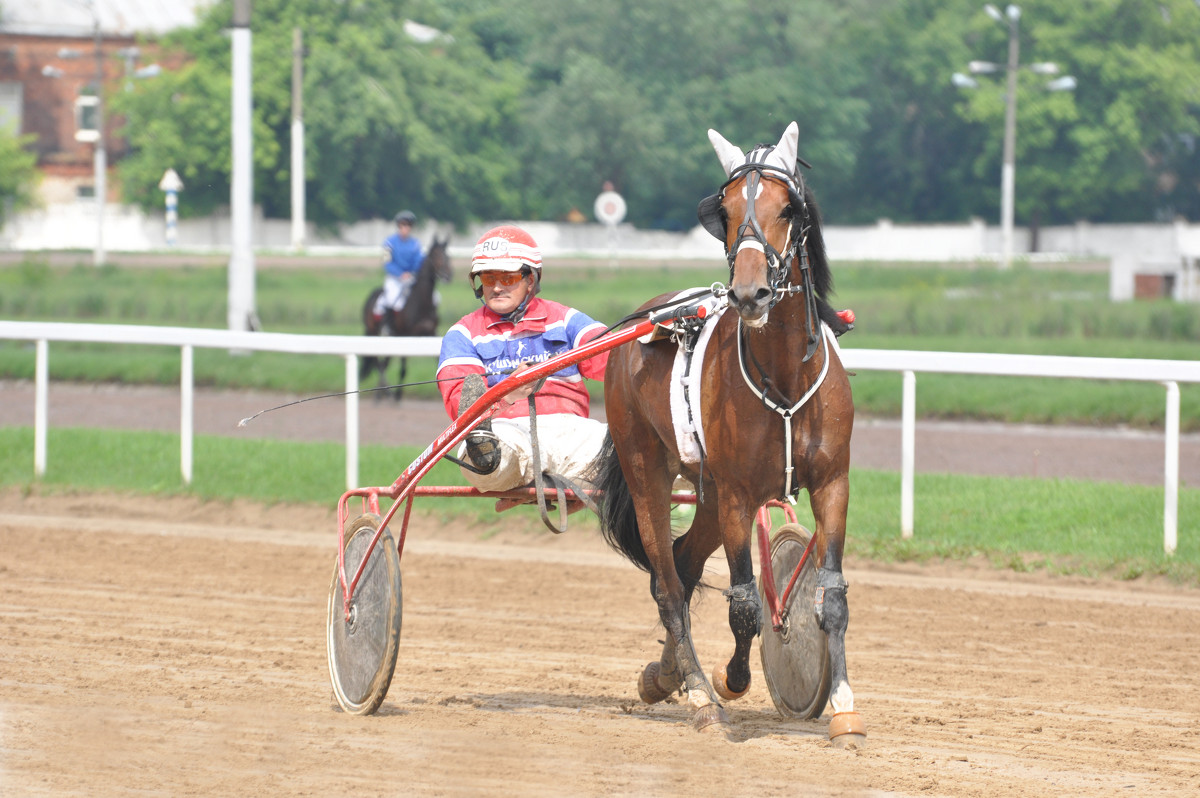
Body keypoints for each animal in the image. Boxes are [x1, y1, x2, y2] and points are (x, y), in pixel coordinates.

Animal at [357, 235, 451, 398]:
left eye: (448, 255)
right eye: (437, 255)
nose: (448, 276)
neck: (421, 303)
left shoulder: (431, 333)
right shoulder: (406, 335)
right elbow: (403, 369)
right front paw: (397, 396)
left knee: (384, 363)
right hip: (374, 332)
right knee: (377, 362)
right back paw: (386, 393)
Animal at [590, 121, 864, 744]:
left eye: (788, 208)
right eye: (729, 209)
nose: (749, 293)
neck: (784, 377)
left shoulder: (832, 483)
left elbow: (832, 597)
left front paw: (842, 705)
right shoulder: (740, 493)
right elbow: (744, 606)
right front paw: (732, 680)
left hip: (710, 495)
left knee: (684, 566)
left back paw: (666, 673)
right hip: (651, 472)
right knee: (668, 583)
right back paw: (697, 690)